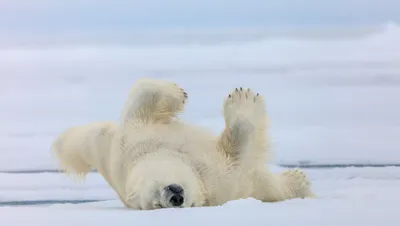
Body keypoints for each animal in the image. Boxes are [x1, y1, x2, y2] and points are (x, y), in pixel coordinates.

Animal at [52, 77, 316, 210]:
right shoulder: (217, 178)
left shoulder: (132, 141)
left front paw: (177, 92)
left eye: (157, 193)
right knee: (268, 185)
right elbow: (237, 149)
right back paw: (299, 180)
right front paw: (244, 100)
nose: (175, 197)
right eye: (156, 204)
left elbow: (142, 98)